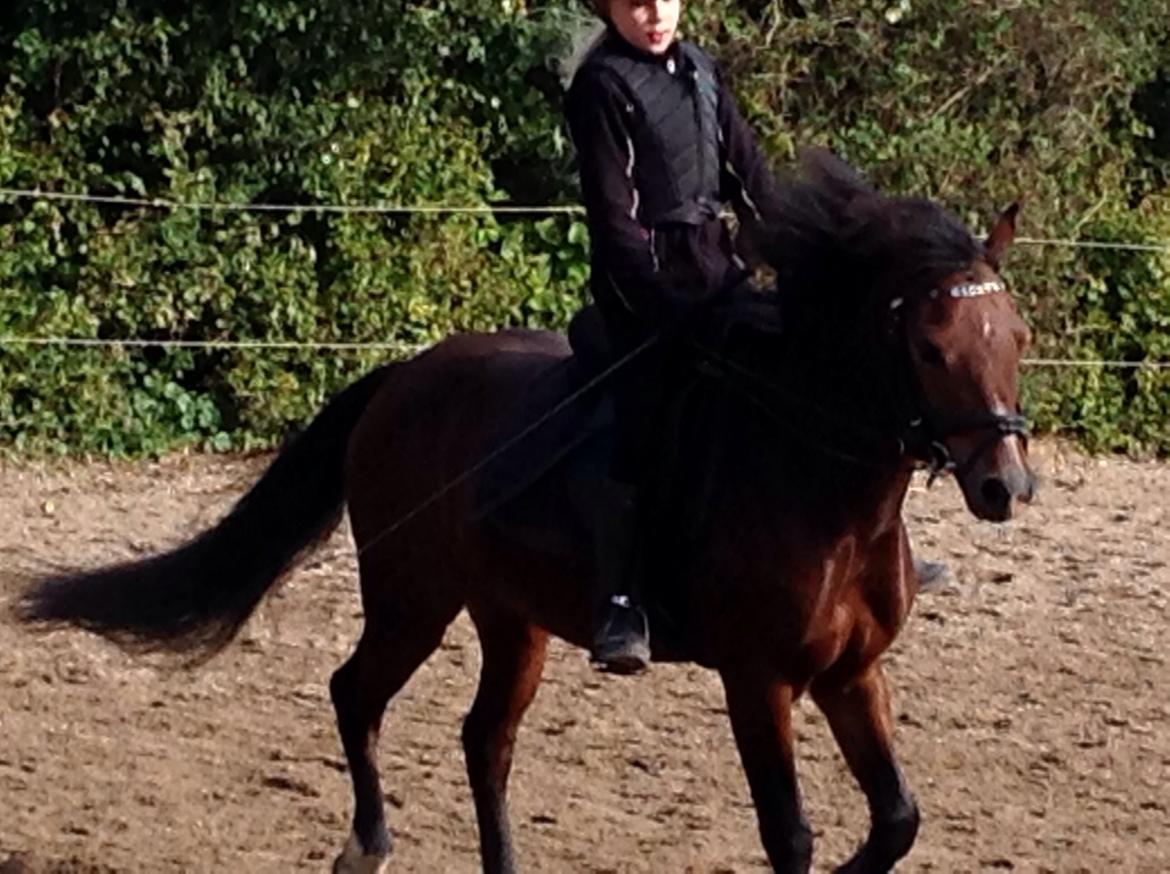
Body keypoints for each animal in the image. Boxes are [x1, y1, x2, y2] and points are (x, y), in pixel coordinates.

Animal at [18, 152, 1034, 874]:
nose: (1005, 486)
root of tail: (404, 377)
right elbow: (790, 837)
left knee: (485, 740)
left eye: (1017, 336)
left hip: (513, 620)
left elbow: (897, 821)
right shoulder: (759, 680)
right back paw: (366, 847)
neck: (824, 490)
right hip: (412, 599)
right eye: (931, 346)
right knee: (357, 693)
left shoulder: (853, 675)